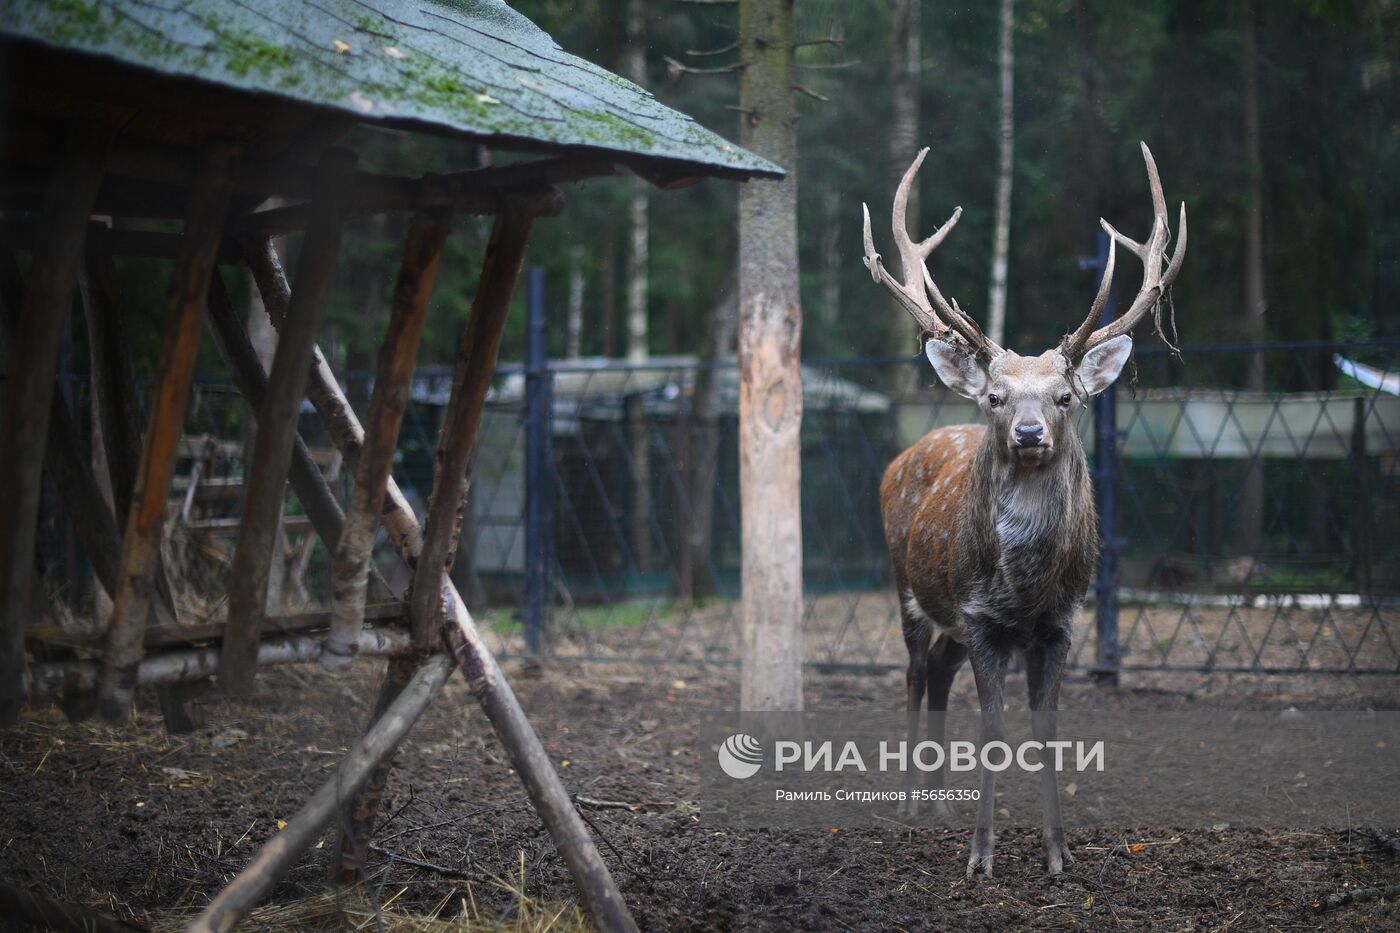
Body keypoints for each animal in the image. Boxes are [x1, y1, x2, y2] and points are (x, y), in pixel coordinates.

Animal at [868, 141, 1187, 874]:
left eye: (1065, 396)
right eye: (996, 396)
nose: (1030, 431)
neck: (1025, 585)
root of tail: (903, 456)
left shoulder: (1059, 623)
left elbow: (1047, 729)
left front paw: (1058, 851)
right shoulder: (980, 617)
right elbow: (992, 729)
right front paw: (981, 857)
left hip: (949, 621)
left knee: (935, 673)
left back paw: (936, 799)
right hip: (907, 585)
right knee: (911, 674)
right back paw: (911, 801)